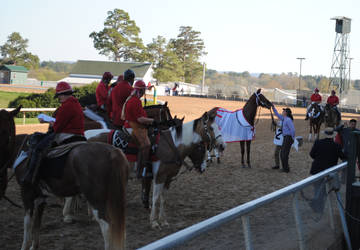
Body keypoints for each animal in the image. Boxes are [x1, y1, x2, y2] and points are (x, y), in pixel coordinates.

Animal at [0, 107, 129, 250]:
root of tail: (113, 153)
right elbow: (36, 224)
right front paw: (34, 246)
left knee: (107, 227)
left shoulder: (26, 193)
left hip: (97, 199)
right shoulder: (41, 197)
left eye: (4, 130)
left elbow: (27, 224)